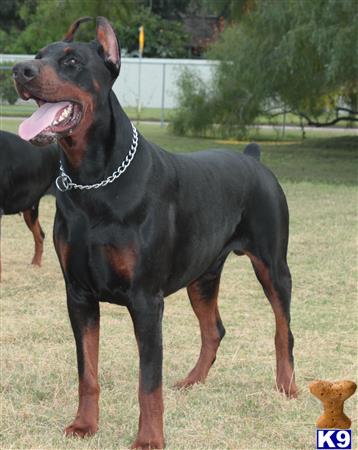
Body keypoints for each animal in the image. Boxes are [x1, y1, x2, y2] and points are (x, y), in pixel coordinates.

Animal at [12, 15, 298, 448]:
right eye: (38, 55)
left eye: (72, 61)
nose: (19, 70)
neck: (93, 182)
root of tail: (253, 158)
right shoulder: (78, 295)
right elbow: (87, 370)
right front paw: (84, 425)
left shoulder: (146, 301)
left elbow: (148, 381)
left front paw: (148, 438)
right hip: (202, 274)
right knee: (213, 329)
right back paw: (192, 381)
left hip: (273, 266)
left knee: (284, 331)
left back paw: (287, 387)